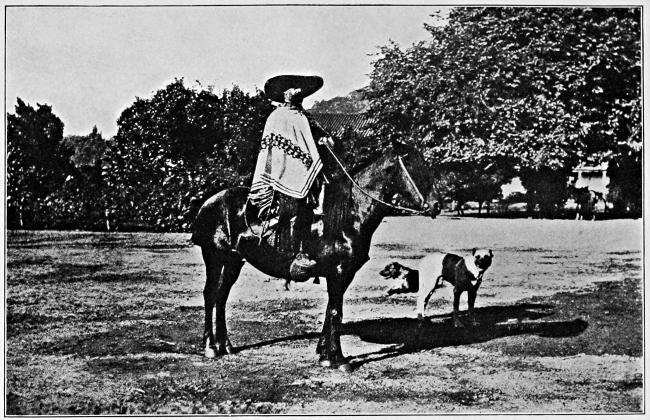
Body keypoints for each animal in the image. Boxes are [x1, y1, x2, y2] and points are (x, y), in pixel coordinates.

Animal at [190, 143, 438, 372]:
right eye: (410, 164)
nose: (436, 205)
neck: (350, 214)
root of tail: (209, 203)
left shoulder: (340, 275)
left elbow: (331, 311)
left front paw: (324, 353)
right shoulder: (339, 273)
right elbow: (336, 312)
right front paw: (338, 359)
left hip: (233, 261)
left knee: (221, 296)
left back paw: (226, 345)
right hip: (214, 257)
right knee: (211, 295)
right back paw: (210, 347)